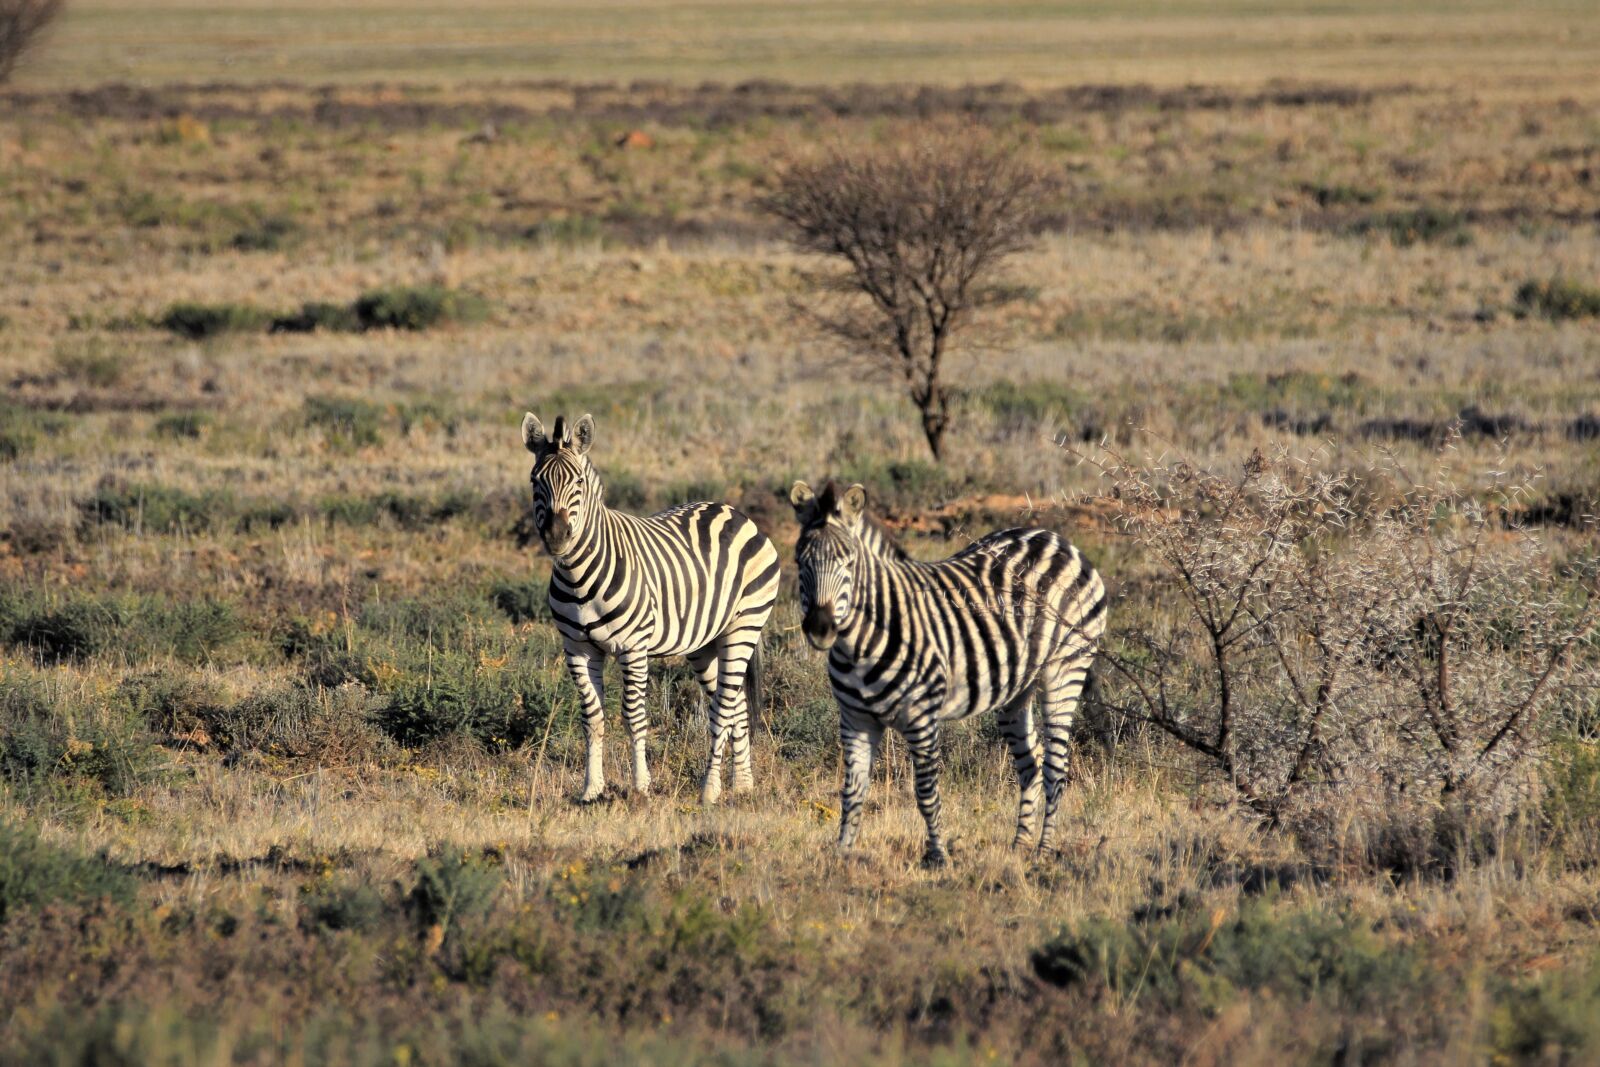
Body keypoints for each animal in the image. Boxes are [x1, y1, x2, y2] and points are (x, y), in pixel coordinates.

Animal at [522, 412, 780, 805]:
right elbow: (592, 717)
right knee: (735, 703)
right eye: (536, 480)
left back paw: (709, 790)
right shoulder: (578, 648)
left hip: (745, 624)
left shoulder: (633, 647)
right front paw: (591, 789)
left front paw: (640, 786)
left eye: (578, 481)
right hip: (706, 642)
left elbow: (633, 715)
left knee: (723, 708)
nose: (556, 537)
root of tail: (734, 512)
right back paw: (743, 784)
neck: (578, 575)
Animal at [789, 480, 1107, 866]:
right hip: (1017, 689)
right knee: (1030, 764)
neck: (859, 644)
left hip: (1065, 671)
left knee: (1055, 767)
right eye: (799, 562)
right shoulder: (855, 719)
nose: (820, 629)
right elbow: (852, 791)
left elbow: (926, 791)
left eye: (848, 563)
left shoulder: (921, 716)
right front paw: (843, 854)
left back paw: (1043, 851)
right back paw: (1019, 845)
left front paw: (937, 856)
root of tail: (1056, 538)